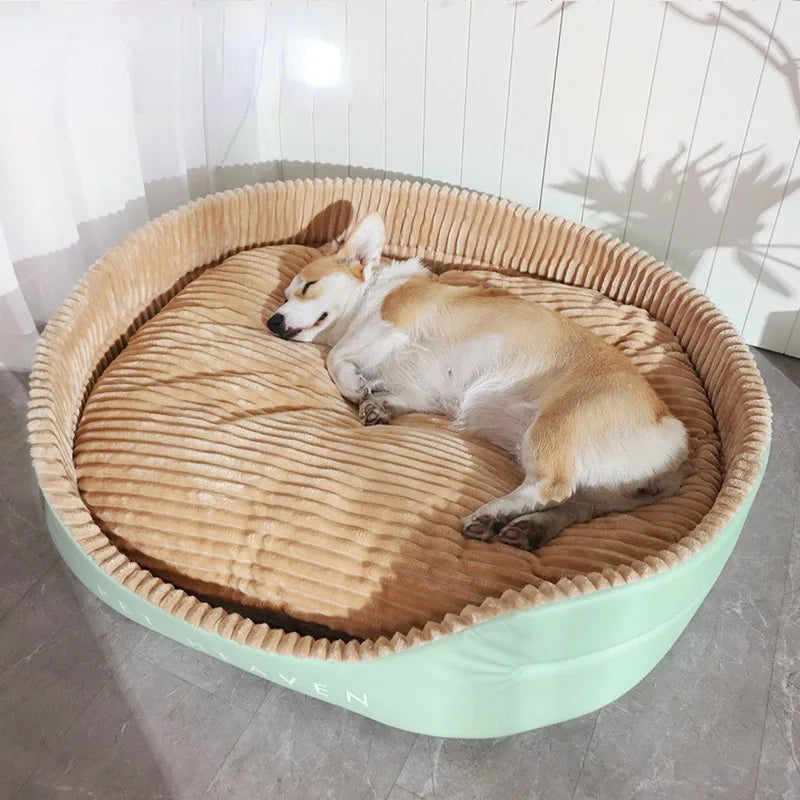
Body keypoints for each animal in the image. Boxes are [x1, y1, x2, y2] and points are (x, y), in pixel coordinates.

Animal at [268, 212, 688, 552]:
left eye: (306, 287)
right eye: (285, 295)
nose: (272, 321)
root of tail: (671, 431)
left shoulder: (388, 325)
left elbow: (337, 355)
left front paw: (356, 386)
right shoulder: (422, 386)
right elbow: (394, 391)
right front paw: (376, 404)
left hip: (553, 427)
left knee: (551, 486)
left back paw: (490, 514)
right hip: (607, 495)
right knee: (571, 505)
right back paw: (526, 529)